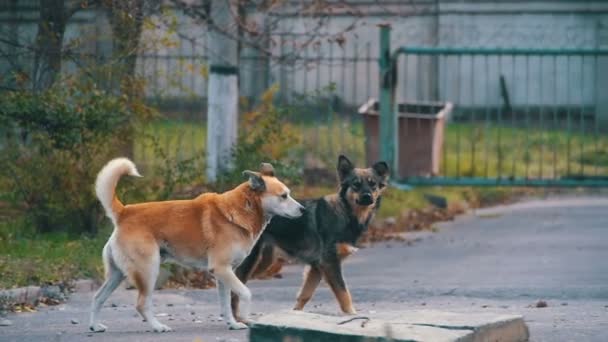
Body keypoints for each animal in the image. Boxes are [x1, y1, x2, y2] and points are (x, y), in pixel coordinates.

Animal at [89, 159, 304, 332]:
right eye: (283, 196)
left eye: (288, 194)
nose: (303, 210)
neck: (242, 209)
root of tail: (124, 212)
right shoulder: (221, 269)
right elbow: (246, 293)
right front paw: (246, 318)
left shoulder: (224, 274)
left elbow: (226, 304)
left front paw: (233, 324)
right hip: (148, 270)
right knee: (141, 304)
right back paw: (158, 327)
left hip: (117, 274)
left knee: (98, 298)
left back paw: (95, 326)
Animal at [233, 156, 390, 316]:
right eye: (356, 185)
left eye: (373, 184)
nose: (367, 196)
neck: (345, 212)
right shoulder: (330, 263)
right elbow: (344, 293)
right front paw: (352, 314)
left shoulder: (316, 267)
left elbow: (305, 294)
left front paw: (296, 313)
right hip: (250, 261)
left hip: (264, 262)